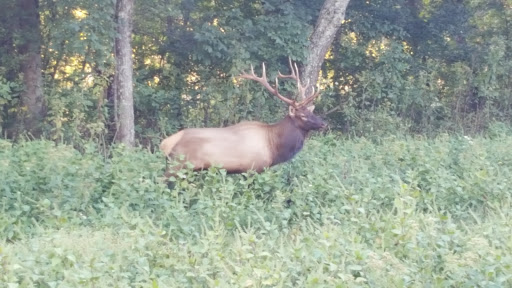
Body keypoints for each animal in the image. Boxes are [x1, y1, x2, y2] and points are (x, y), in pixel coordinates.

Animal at [160, 58, 324, 177]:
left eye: (312, 112)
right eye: (302, 116)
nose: (323, 123)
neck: (274, 146)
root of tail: (166, 144)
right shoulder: (254, 168)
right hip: (177, 165)